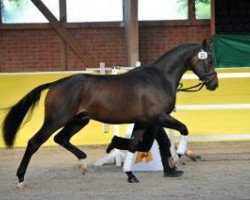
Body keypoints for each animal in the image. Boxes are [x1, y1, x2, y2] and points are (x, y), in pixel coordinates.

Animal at [1, 40, 217, 188]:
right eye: (209, 60)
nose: (214, 84)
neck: (158, 79)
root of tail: (56, 83)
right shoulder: (158, 117)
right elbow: (183, 129)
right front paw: (177, 158)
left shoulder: (143, 122)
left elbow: (134, 145)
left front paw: (130, 174)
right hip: (56, 120)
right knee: (34, 143)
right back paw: (21, 180)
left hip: (79, 120)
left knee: (61, 138)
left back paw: (83, 164)